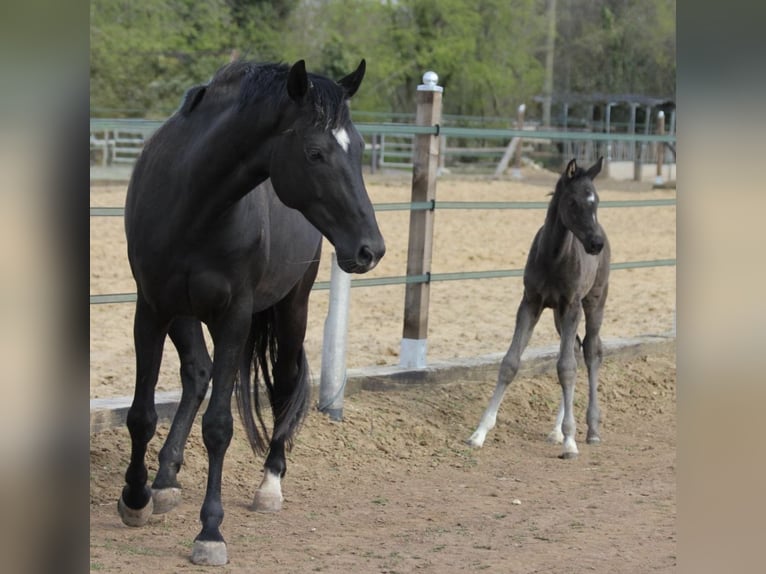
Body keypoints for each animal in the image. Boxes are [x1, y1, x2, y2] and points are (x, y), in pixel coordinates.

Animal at [118, 58, 385, 566]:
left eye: (359, 148)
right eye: (315, 152)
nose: (370, 249)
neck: (193, 202)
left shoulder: (234, 317)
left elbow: (220, 427)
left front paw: (210, 532)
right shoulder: (152, 309)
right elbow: (141, 413)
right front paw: (135, 498)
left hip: (292, 307)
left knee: (282, 383)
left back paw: (270, 484)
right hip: (184, 314)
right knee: (197, 373)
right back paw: (165, 480)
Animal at [467, 157, 609, 459]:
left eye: (596, 201)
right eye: (573, 202)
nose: (595, 243)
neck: (554, 258)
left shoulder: (571, 306)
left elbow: (566, 367)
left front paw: (571, 442)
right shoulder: (530, 303)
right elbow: (510, 363)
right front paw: (479, 433)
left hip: (594, 302)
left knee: (591, 351)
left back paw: (591, 430)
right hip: (558, 314)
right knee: (576, 348)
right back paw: (556, 430)